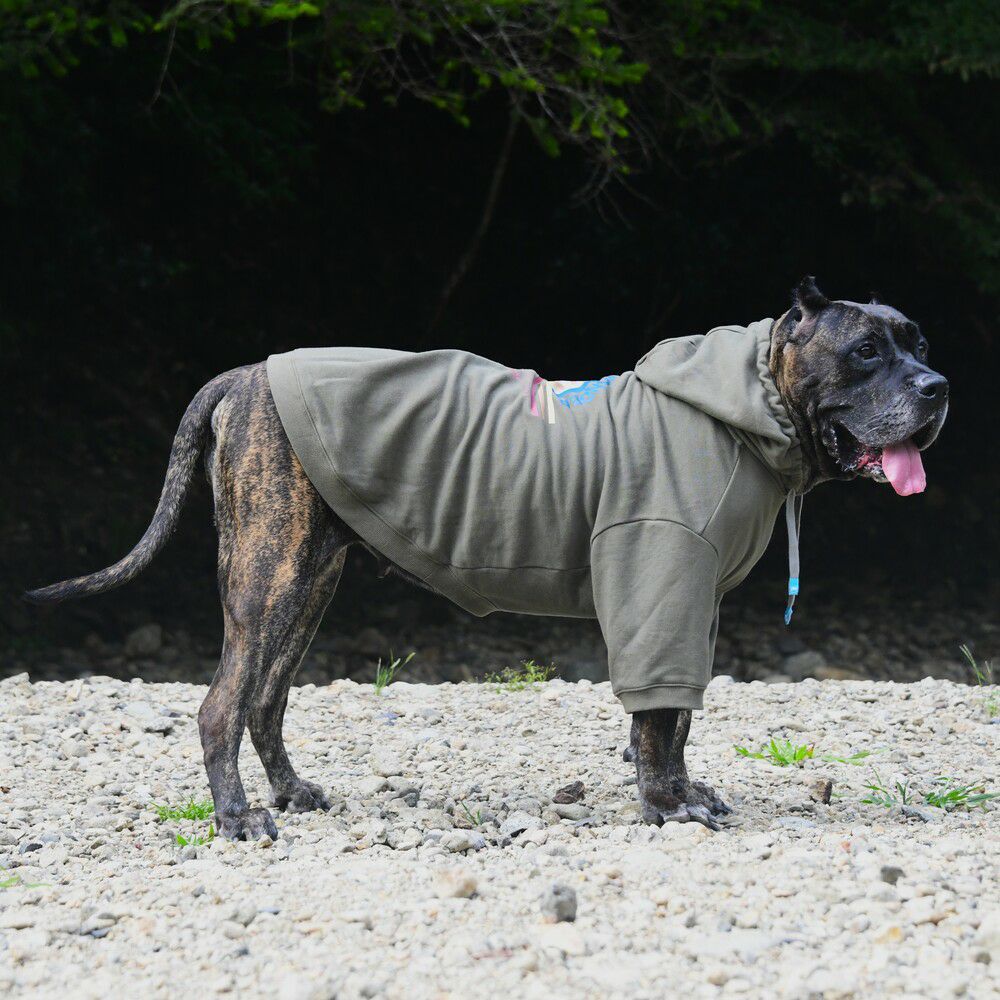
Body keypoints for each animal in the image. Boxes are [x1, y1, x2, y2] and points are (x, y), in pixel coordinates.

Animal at [26, 278, 948, 839]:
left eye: (919, 343)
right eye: (867, 351)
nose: (938, 387)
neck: (752, 405)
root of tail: (245, 374)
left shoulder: (692, 606)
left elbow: (678, 716)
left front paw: (685, 791)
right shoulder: (659, 581)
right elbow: (657, 720)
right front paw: (664, 805)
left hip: (309, 579)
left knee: (265, 701)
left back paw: (290, 792)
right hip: (269, 577)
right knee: (222, 704)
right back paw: (239, 817)